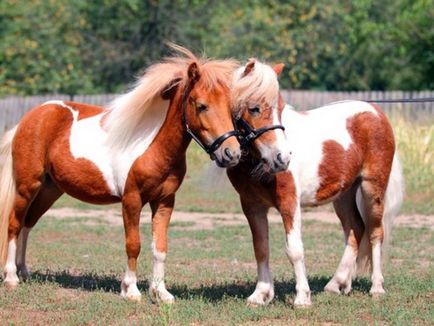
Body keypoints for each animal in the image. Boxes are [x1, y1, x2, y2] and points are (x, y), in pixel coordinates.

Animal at [0, 45, 241, 304]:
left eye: (230, 108)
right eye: (201, 106)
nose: (232, 153)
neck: (151, 144)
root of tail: (29, 119)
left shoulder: (164, 201)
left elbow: (160, 247)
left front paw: (160, 292)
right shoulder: (131, 200)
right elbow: (133, 244)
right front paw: (131, 290)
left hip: (49, 190)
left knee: (28, 223)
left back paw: (24, 272)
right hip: (28, 187)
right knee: (14, 224)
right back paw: (12, 277)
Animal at [229, 59, 406, 306]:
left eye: (280, 109)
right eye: (255, 108)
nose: (283, 158)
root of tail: (376, 112)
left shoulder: (289, 202)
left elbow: (294, 249)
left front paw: (302, 298)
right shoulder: (252, 206)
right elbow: (261, 248)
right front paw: (260, 295)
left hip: (372, 188)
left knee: (375, 231)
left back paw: (377, 288)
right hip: (343, 195)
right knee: (355, 228)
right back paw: (337, 284)